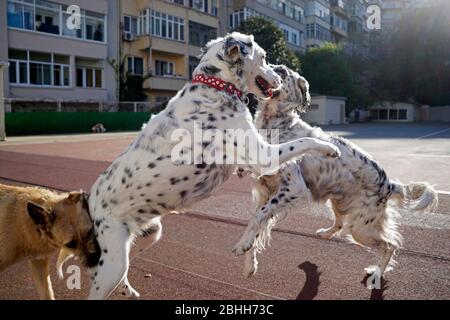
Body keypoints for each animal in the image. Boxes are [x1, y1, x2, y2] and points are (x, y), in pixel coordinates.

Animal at [67, 33, 340, 298]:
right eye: (264, 58)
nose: (279, 78)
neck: (215, 86)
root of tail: (90, 204)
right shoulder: (262, 155)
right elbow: (304, 141)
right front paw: (329, 147)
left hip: (149, 233)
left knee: (122, 269)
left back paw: (127, 289)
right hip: (112, 264)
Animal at [234, 65, 438, 280]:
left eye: (282, 71)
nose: (266, 68)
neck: (277, 126)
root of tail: (389, 184)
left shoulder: (293, 187)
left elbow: (258, 217)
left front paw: (242, 245)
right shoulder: (265, 192)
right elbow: (257, 222)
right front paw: (249, 263)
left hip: (360, 228)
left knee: (390, 245)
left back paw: (376, 274)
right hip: (338, 202)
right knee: (340, 225)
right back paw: (325, 233)